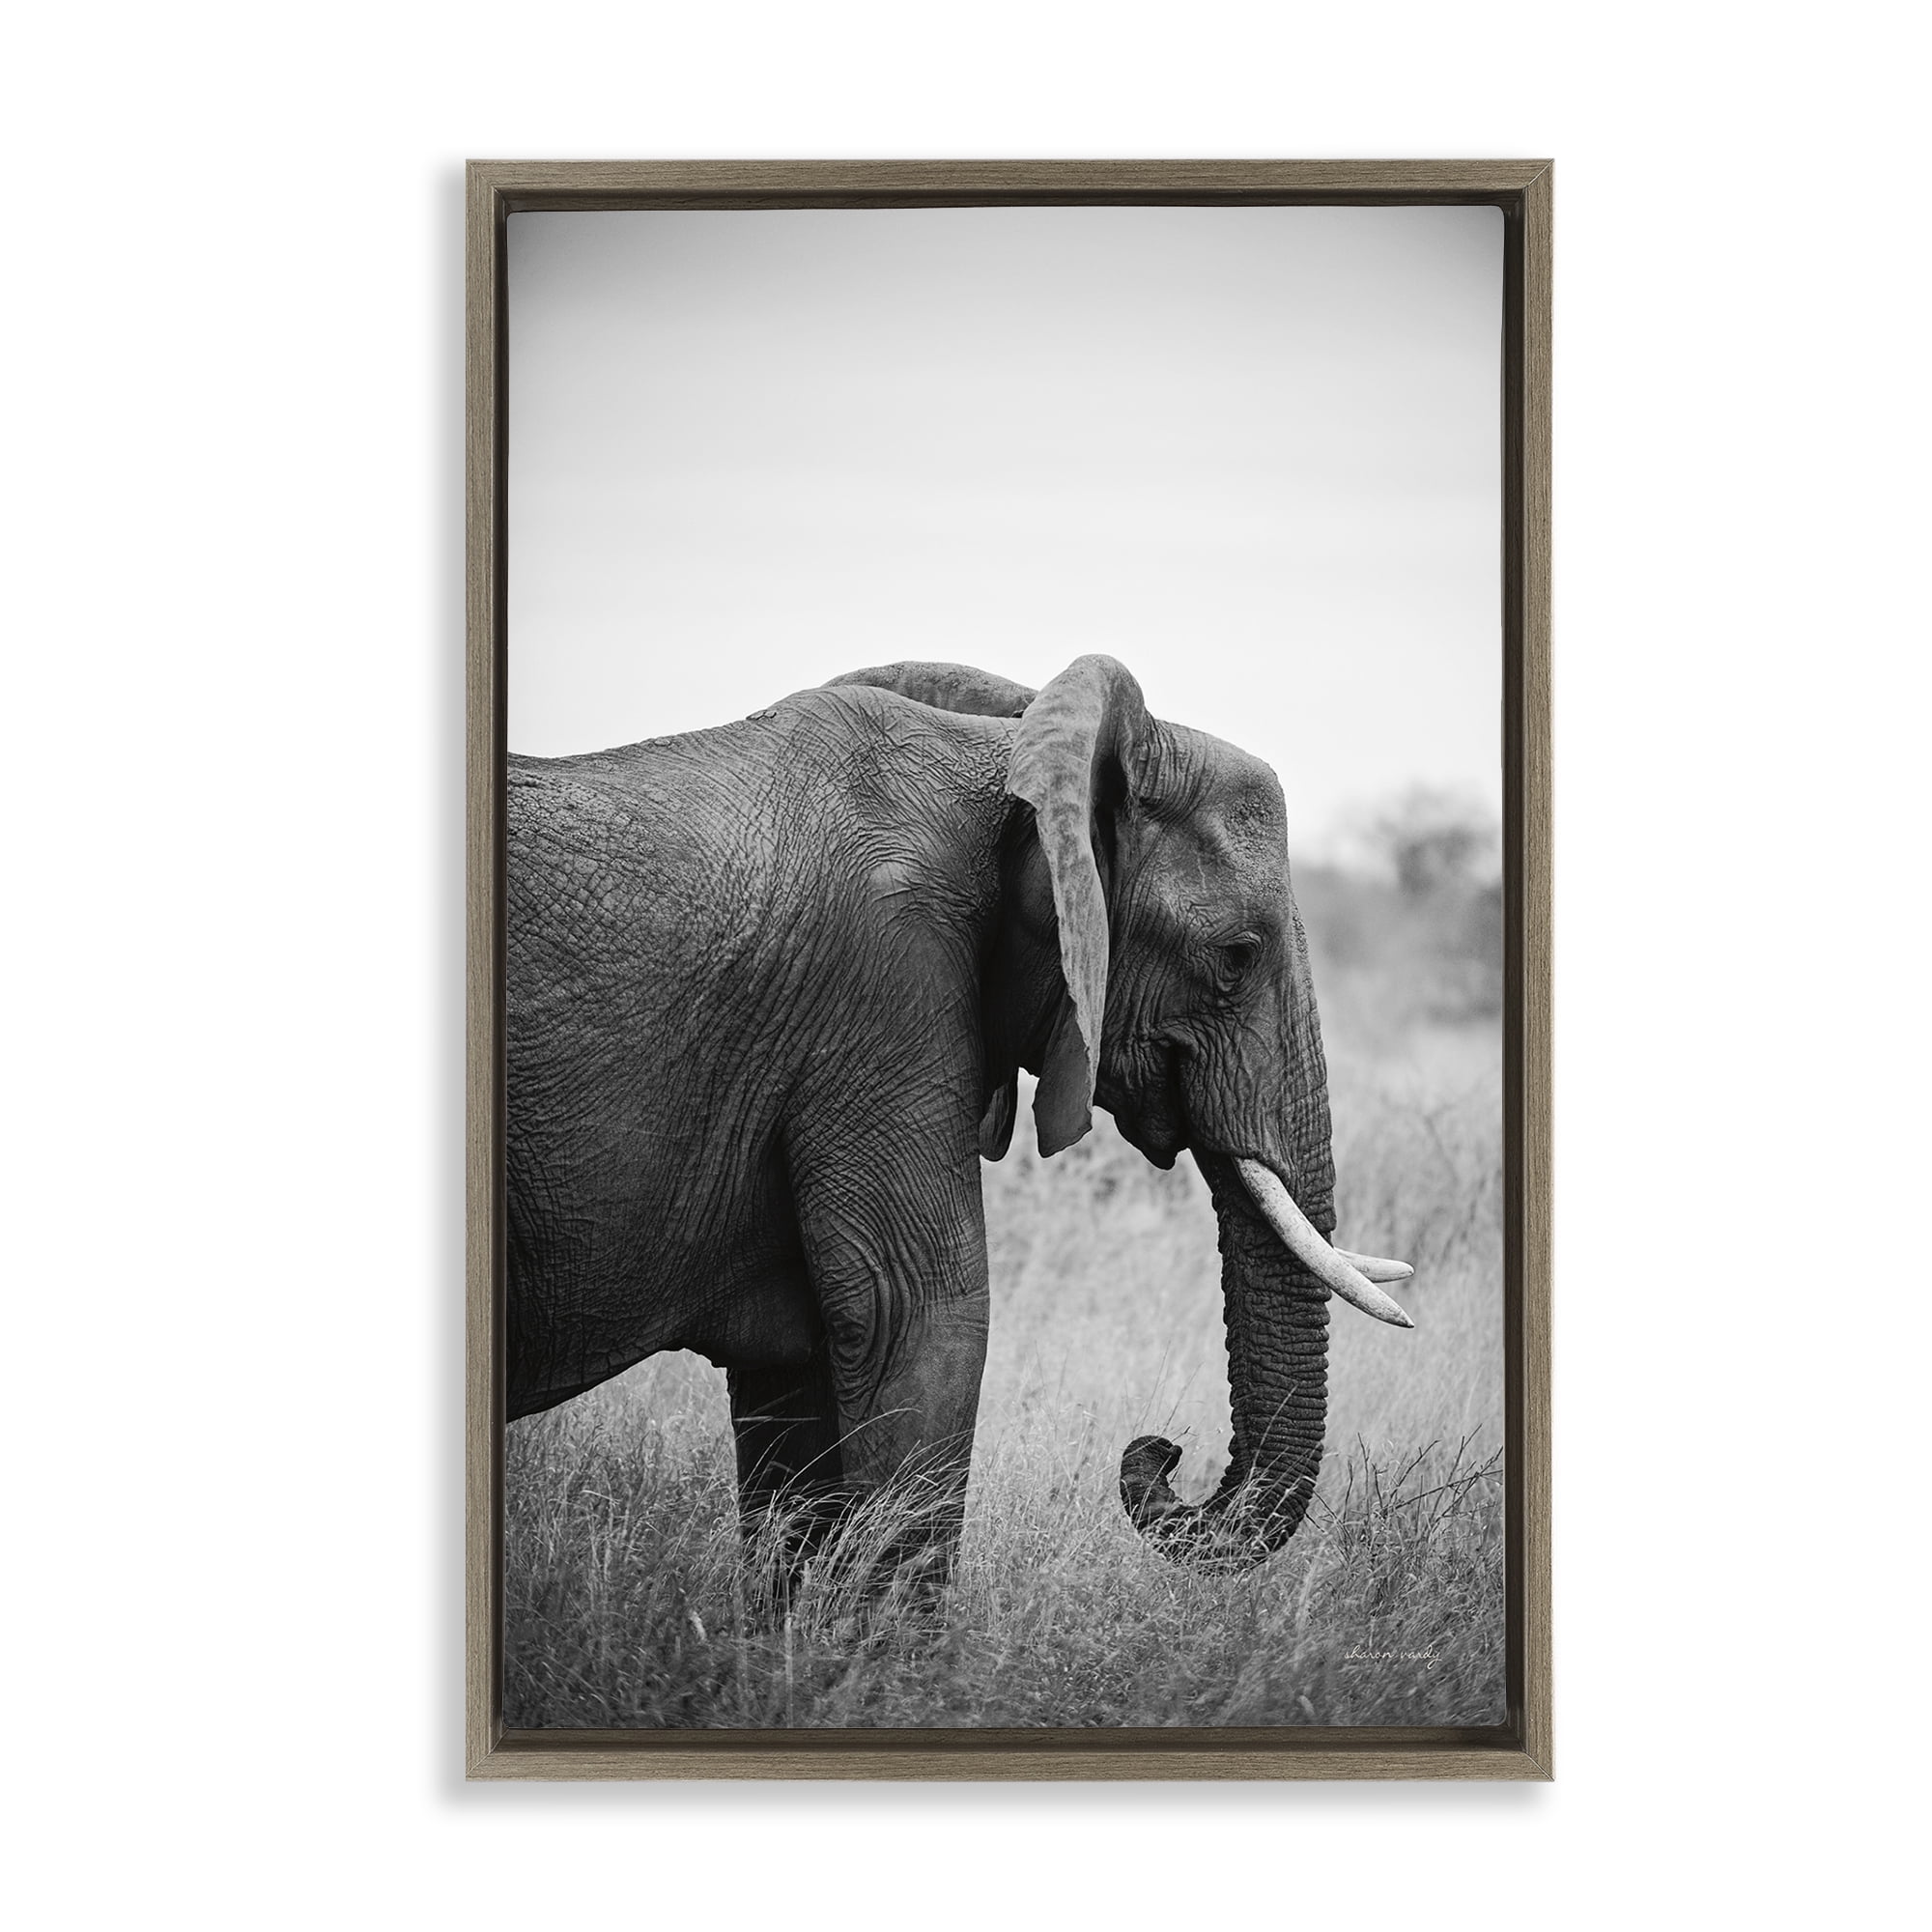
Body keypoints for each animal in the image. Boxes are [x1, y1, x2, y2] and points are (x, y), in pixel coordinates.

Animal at [505, 655, 1413, 1577]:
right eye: (1237, 956)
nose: (1161, 1451)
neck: (1008, 768)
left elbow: (799, 1371)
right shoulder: (882, 988)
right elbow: (917, 1317)